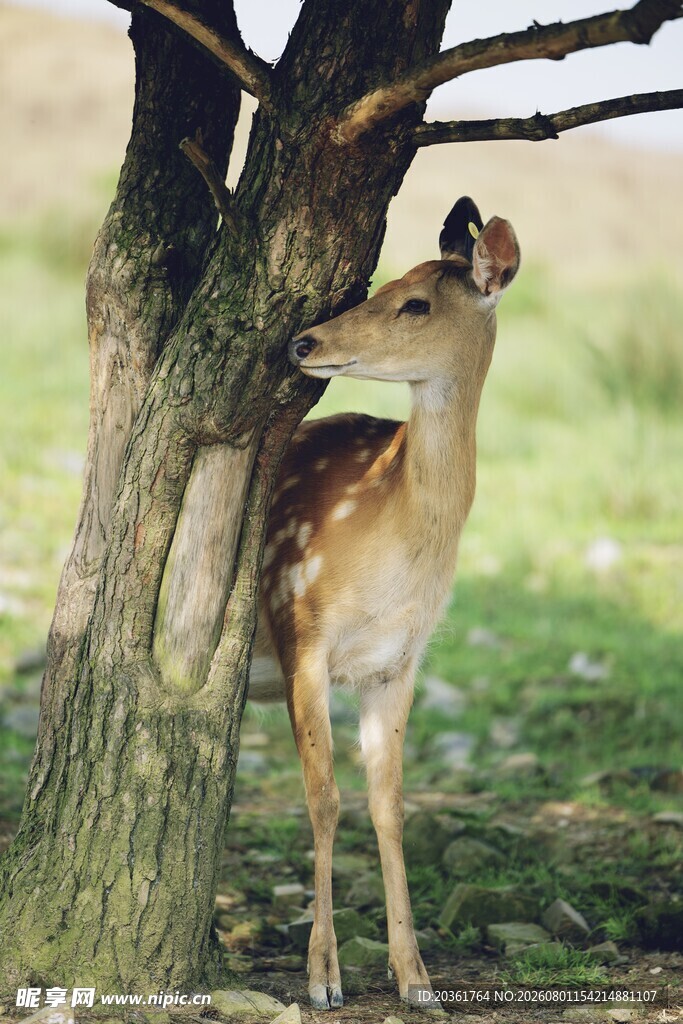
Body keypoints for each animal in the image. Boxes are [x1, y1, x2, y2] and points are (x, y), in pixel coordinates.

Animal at [246, 196, 520, 1010]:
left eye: (416, 302)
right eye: (385, 278)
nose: (305, 340)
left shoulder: (398, 662)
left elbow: (388, 803)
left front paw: (416, 978)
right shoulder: (300, 628)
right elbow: (323, 796)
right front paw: (322, 979)